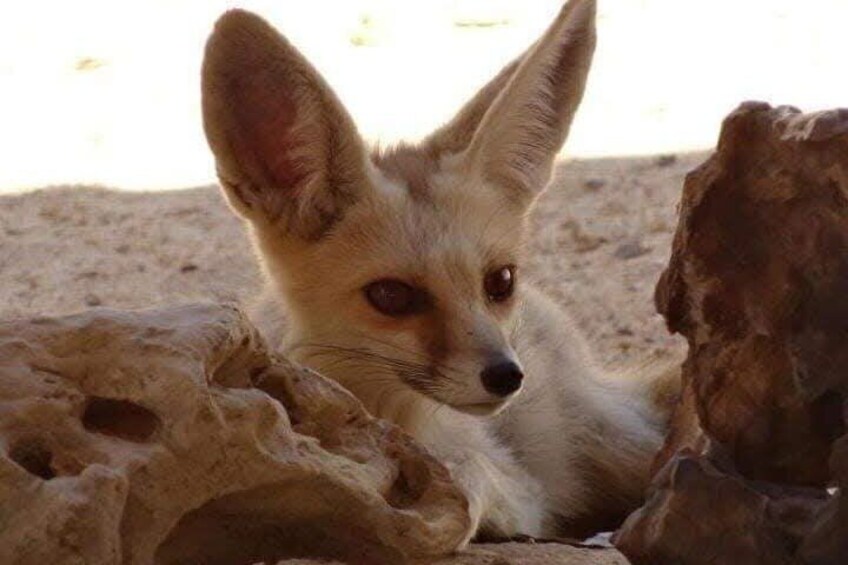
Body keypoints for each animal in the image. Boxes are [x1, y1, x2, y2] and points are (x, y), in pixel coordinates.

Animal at [201, 0, 678, 543]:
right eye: (391, 295)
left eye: (500, 281)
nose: (506, 376)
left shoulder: (525, 490)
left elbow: (473, 476)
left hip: (608, 439)